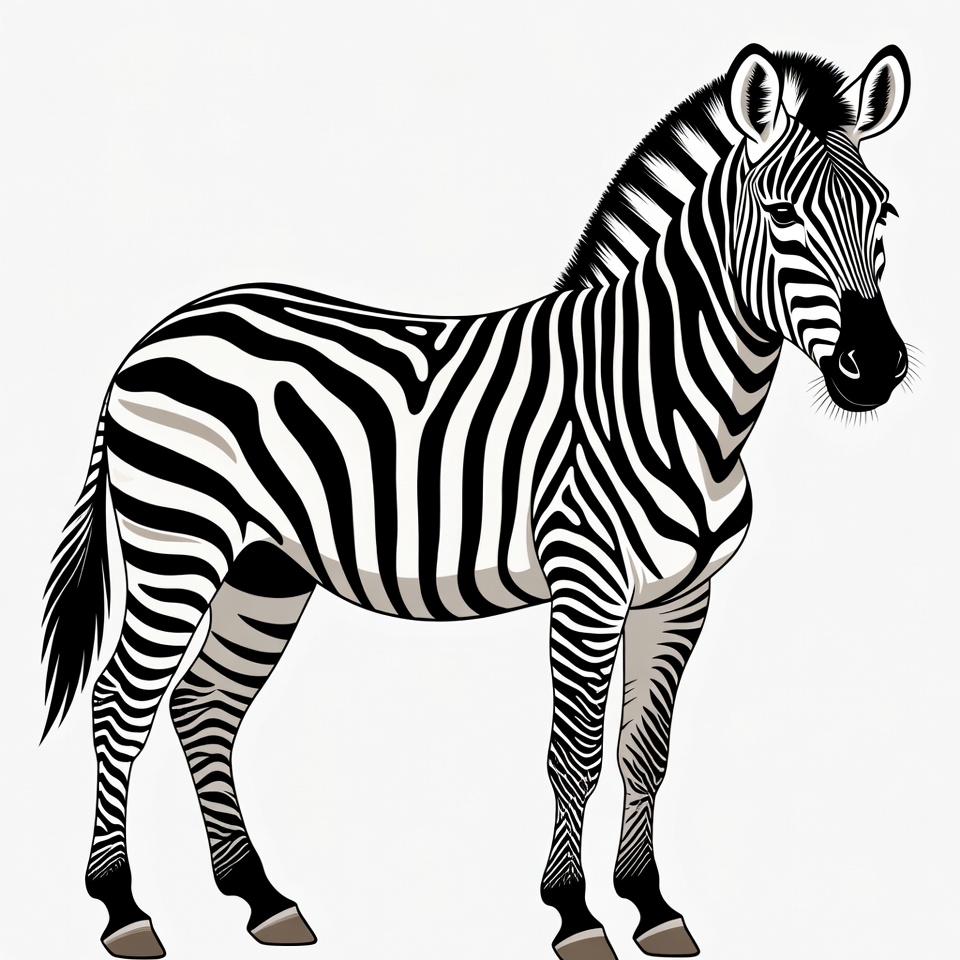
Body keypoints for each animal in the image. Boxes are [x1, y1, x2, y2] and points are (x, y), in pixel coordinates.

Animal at [41, 43, 912, 960]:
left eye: (884, 215)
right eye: (781, 215)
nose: (877, 366)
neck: (668, 398)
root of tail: (157, 333)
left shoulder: (681, 596)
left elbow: (646, 750)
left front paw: (651, 906)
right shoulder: (585, 582)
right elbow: (576, 752)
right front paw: (574, 914)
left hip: (265, 567)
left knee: (204, 704)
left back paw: (260, 897)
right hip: (177, 543)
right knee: (119, 704)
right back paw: (123, 909)